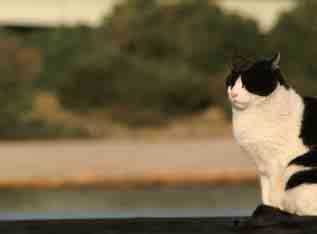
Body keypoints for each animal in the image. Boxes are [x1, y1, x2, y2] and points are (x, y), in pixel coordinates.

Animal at [226, 53, 317, 216]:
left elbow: (274, 196)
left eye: (247, 84)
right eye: (231, 82)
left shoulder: (277, 164)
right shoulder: (263, 168)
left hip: (294, 167)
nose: (233, 93)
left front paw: (274, 211)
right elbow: (266, 196)